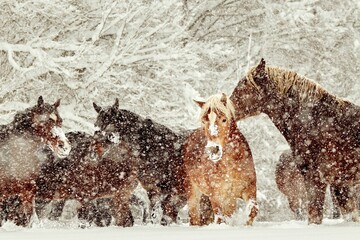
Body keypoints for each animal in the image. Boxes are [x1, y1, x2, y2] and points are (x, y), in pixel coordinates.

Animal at [184, 93, 258, 225]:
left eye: (224, 119)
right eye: (204, 121)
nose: (213, 149)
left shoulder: (248, 189)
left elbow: (253, 210)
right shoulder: (216, 195)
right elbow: (220, 219)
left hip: (229, 200)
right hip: (193, 192)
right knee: (195, 218)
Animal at [231, 59, 360, 224]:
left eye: (244, 88)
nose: (225, 109)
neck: (316, 123)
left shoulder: (316, 179)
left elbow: (314, 216)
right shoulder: (341, 184)